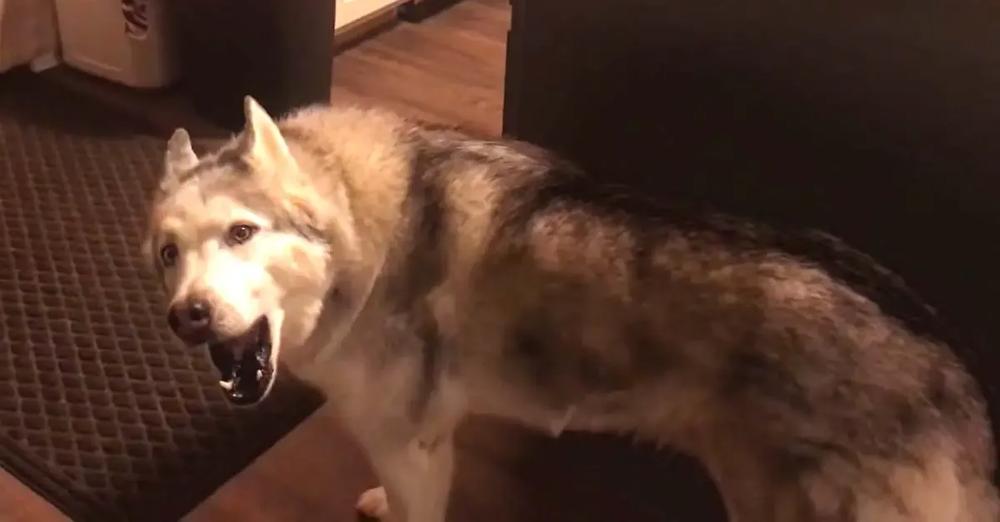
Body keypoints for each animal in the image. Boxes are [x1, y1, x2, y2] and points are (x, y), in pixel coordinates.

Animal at [145, 95, 996, 516]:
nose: (186, 318)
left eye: (242, 232)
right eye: (167, 255)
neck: (363, 236)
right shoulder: (423, 444)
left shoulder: (413, 446)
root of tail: (956, 376)